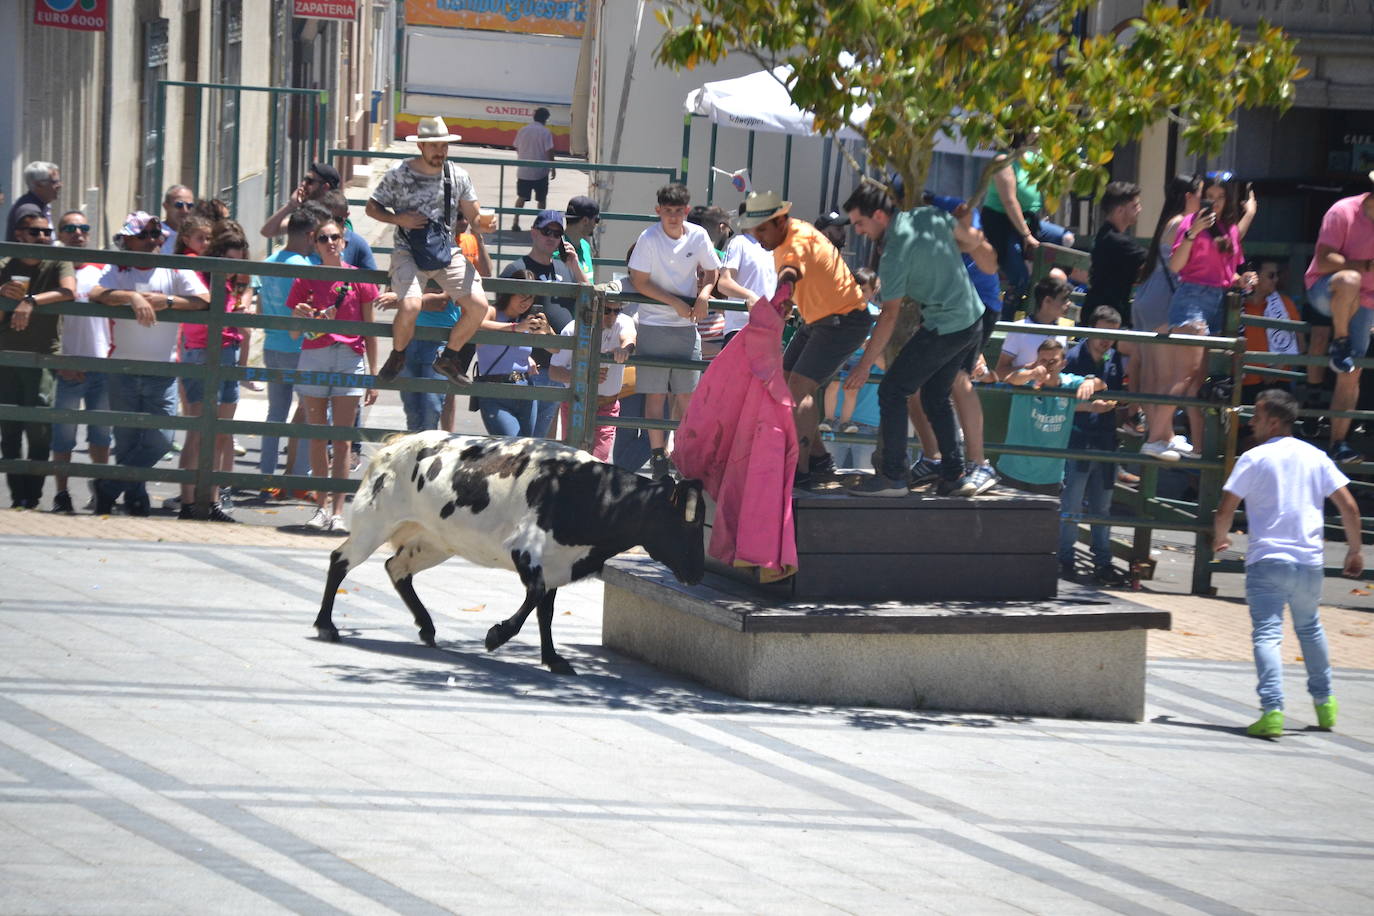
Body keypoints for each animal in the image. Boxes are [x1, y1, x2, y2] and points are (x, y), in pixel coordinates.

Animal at [310, 433, 703, 678]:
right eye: (683, 524)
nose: (698, 574)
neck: (587, 491)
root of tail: (395, 444)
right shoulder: (527, 551)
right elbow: (532, 600)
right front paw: (495, 635)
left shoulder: (557, 564)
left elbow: (545, 611)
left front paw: (553, 659)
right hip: (373, 523)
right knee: (340, 561)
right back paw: (327, 625)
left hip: (434, 541)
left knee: (397, 568)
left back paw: (427, 626)